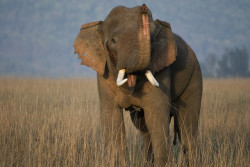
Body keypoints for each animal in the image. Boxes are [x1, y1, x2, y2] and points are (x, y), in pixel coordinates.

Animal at [73, 4, 202, 167]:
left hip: (194, 77)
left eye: (152, 40)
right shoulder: (104, 73)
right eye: (113, 41)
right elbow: (112, 119)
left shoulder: (161, 69)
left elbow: (157, 117)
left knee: (188, 131)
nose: (143, 7)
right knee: (144, 130)